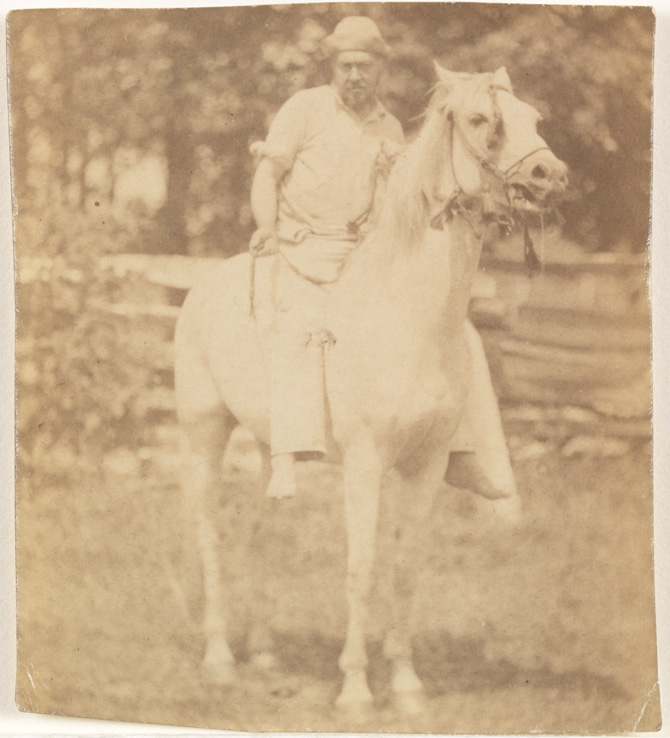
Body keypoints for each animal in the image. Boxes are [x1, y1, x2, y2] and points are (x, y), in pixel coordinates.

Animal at [174, 63, 567, 711]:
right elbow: (360, 565)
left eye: (535, 117)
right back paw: (220, 659)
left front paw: (406, 685)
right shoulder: (363, 462)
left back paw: (263, 654)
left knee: (263, 527)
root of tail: (203, 286)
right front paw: (356, 688)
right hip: (204, 432)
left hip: (271, 446)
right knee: (207, 530)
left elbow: (404, 567)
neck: (407, 316)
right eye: (480, 120)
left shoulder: (426, 466)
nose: (550, 176)